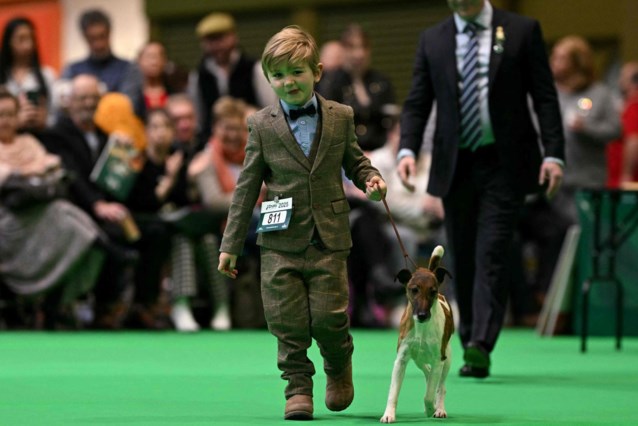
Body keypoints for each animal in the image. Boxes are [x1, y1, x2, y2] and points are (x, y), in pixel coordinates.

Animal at [380, 246, 456, 422]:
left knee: (440, 385)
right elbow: (393, 392)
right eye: (414, 290)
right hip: (418, 358)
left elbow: (429, 394)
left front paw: (431, 408)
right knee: (427, 372)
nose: (422, 315)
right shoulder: (401, 360)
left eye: (432, 291)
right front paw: (388, 414)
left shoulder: (438, 359)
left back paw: (439, 408)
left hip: (447, 358)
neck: (422, 328)